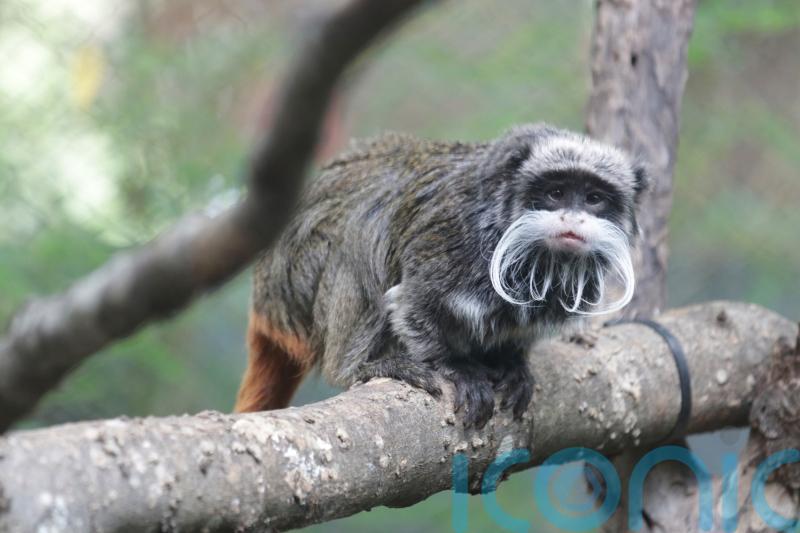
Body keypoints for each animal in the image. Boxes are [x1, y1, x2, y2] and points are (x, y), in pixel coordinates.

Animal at [234, 123, 647, 428]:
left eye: (594, 199)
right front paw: (457, 368)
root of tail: (263, 298)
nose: (573, 219)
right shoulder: (452, 241)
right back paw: (360, 365)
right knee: (361, 233)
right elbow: (412, 305)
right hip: (295, 282)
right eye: (556, 192)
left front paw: (512, 363)